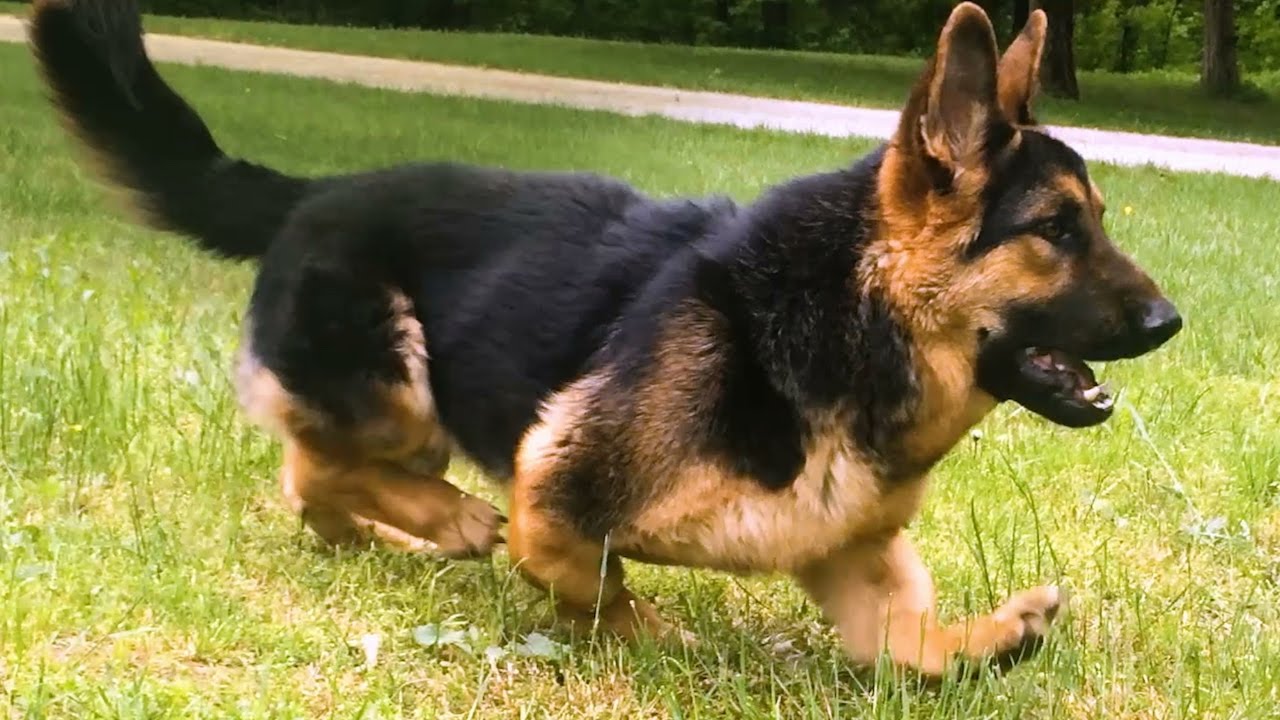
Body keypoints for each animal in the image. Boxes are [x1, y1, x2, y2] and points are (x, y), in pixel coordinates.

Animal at [27, 0, 1177, 671]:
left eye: (1098, 219)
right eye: (1055, 230)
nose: (1170, 321)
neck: (846, 319)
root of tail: (312, 193)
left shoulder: (848, 551)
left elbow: (913, 646)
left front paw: (997, 638)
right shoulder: (552, 487)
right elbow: (588, 579)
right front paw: (649, 638)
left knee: (312, 487)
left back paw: (388, 533)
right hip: (399, 385)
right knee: (314, 465)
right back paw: (443, 521)